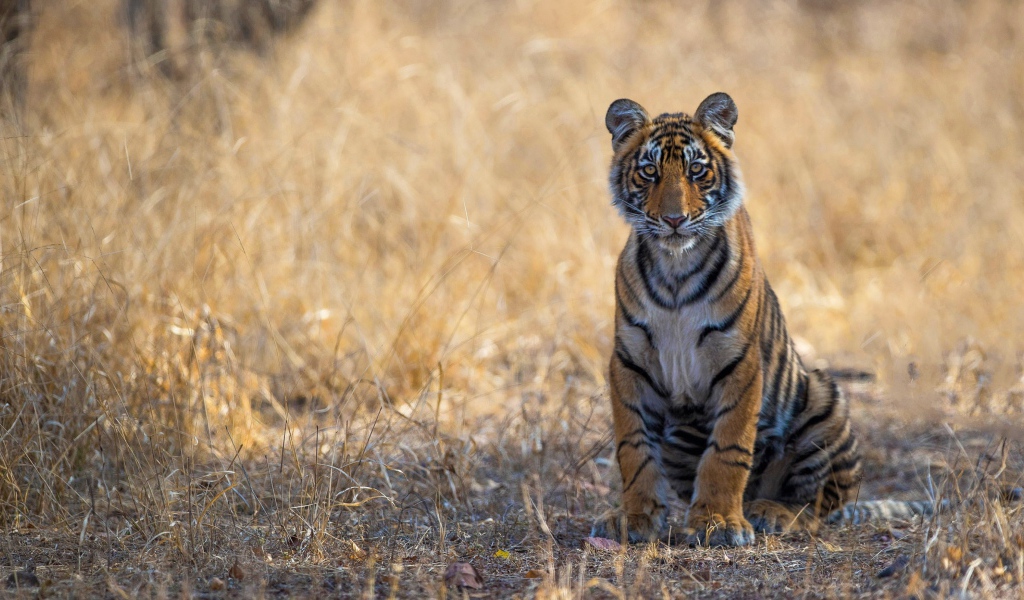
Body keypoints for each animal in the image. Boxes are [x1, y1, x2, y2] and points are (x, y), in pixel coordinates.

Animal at [601, 93, 931, 547]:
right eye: (649, 172)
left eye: (696, 170)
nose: (673, 220)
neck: (674, 268)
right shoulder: (629, 362)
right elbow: (633, 448)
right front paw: (635, 518)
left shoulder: (739, 363)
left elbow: (727, 449)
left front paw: (719, 522)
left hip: (824, 400)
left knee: (819, 508)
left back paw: (770, 511)